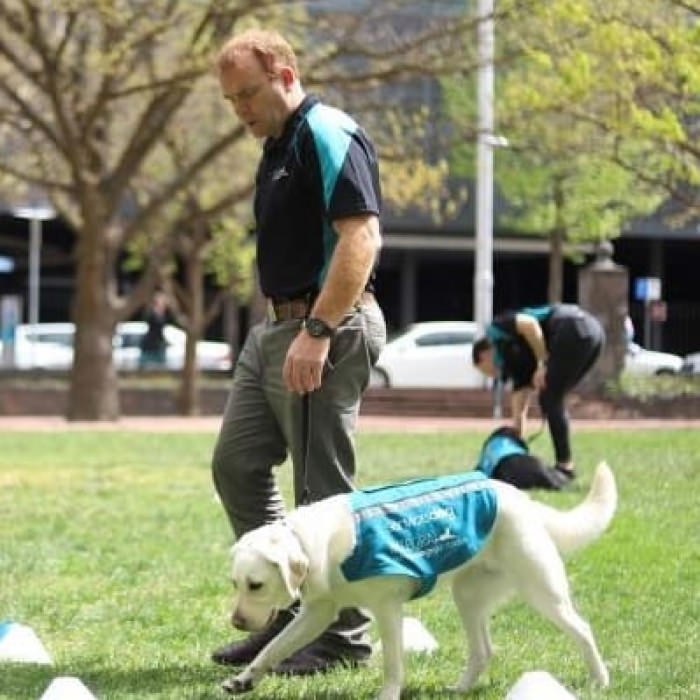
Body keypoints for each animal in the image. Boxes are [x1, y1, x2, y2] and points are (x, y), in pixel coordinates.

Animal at [221, 462, 616, 696]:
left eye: (256, 585)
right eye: (235, 584)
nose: (237, 622)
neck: (320, 542)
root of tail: (520, 497)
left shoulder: (387, 610)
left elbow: (393, 665)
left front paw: (388, 696)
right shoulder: (317, 613)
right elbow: (274, 647)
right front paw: (245, 680)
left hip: (541, 589)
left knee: (583, 630)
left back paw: (600, 680)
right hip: (468, 596)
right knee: (483, 651)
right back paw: (459, 690)